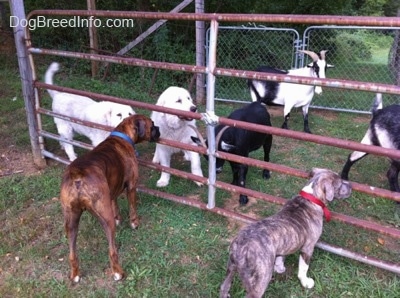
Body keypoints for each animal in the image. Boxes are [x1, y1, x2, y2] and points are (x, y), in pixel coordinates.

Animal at [59, 114, 159, 282]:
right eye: (152, 124)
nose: (158, 129)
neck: (122, 135)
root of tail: (77, 176)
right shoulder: (132, 186)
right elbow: (132, 207)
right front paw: (134, 223)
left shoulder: (112, 192)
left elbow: (115, 204)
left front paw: (119, 217)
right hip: (105, 218)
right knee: (112, 251)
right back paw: (118, 272)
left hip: (71, 222)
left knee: (72, 253)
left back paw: (75, 275)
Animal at [220, 169, 352, 296]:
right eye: (340, 183)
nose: (351, 186)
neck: (312, 196)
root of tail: (241, 246)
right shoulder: (308, 247)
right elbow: (303, 267)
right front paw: (305, 282)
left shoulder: (284, 245)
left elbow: (281, 257)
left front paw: (279, 268)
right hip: (260, 280)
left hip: (231, 268)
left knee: (224, 287)